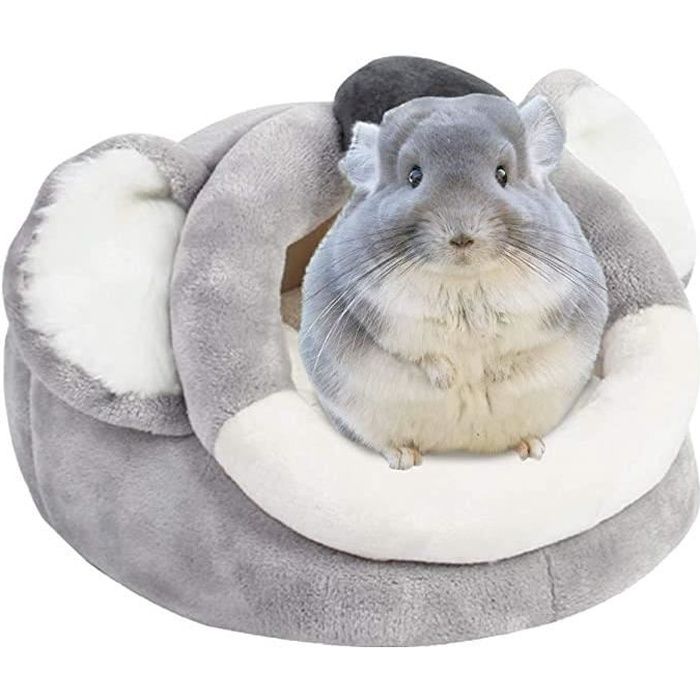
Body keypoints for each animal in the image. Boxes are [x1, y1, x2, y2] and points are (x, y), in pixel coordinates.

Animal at [300, 94, 608, 469]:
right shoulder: (386, 315)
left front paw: (494, 375)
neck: (465, 281)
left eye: (502, 175)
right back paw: (404, 457)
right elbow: (421, 351)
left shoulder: (550, 307)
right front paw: (448, 379)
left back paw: (531, 448)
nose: (461, 236)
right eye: (414, 176)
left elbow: (517, 346)